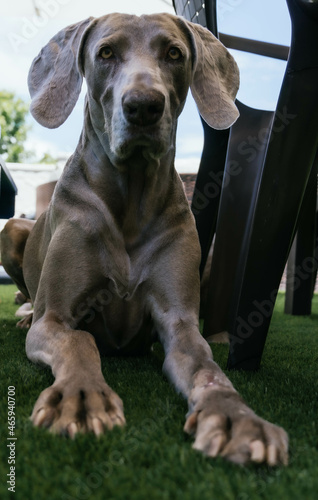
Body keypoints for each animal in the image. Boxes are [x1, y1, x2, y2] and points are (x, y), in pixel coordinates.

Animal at [0, 11, 288, 464]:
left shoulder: (180, 322)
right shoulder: (56, 319)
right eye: (105, 53)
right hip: (12, 229)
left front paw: (236, 417)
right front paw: (81, 397)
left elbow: (208, 367)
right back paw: (24, 312)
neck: (130, 198)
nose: (143, 107)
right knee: (31, 296)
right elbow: (79, 339)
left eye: (173, 53)